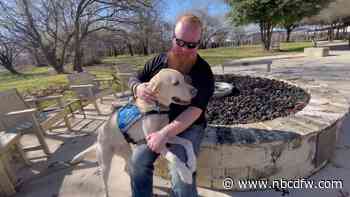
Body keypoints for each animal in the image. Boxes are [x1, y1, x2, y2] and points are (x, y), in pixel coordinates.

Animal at [70, 68, 198, 196]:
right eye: (176, 83)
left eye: (184, 79)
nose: (196, 91)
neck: (157, 107)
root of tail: (99, 136)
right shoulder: (154, 140)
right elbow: (174, 157)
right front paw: (186, 174)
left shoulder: (163, 134)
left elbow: (187, 142)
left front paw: (192, 162)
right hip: (105, 164)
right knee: (105, 183)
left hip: (128, 153)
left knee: (127, 169)